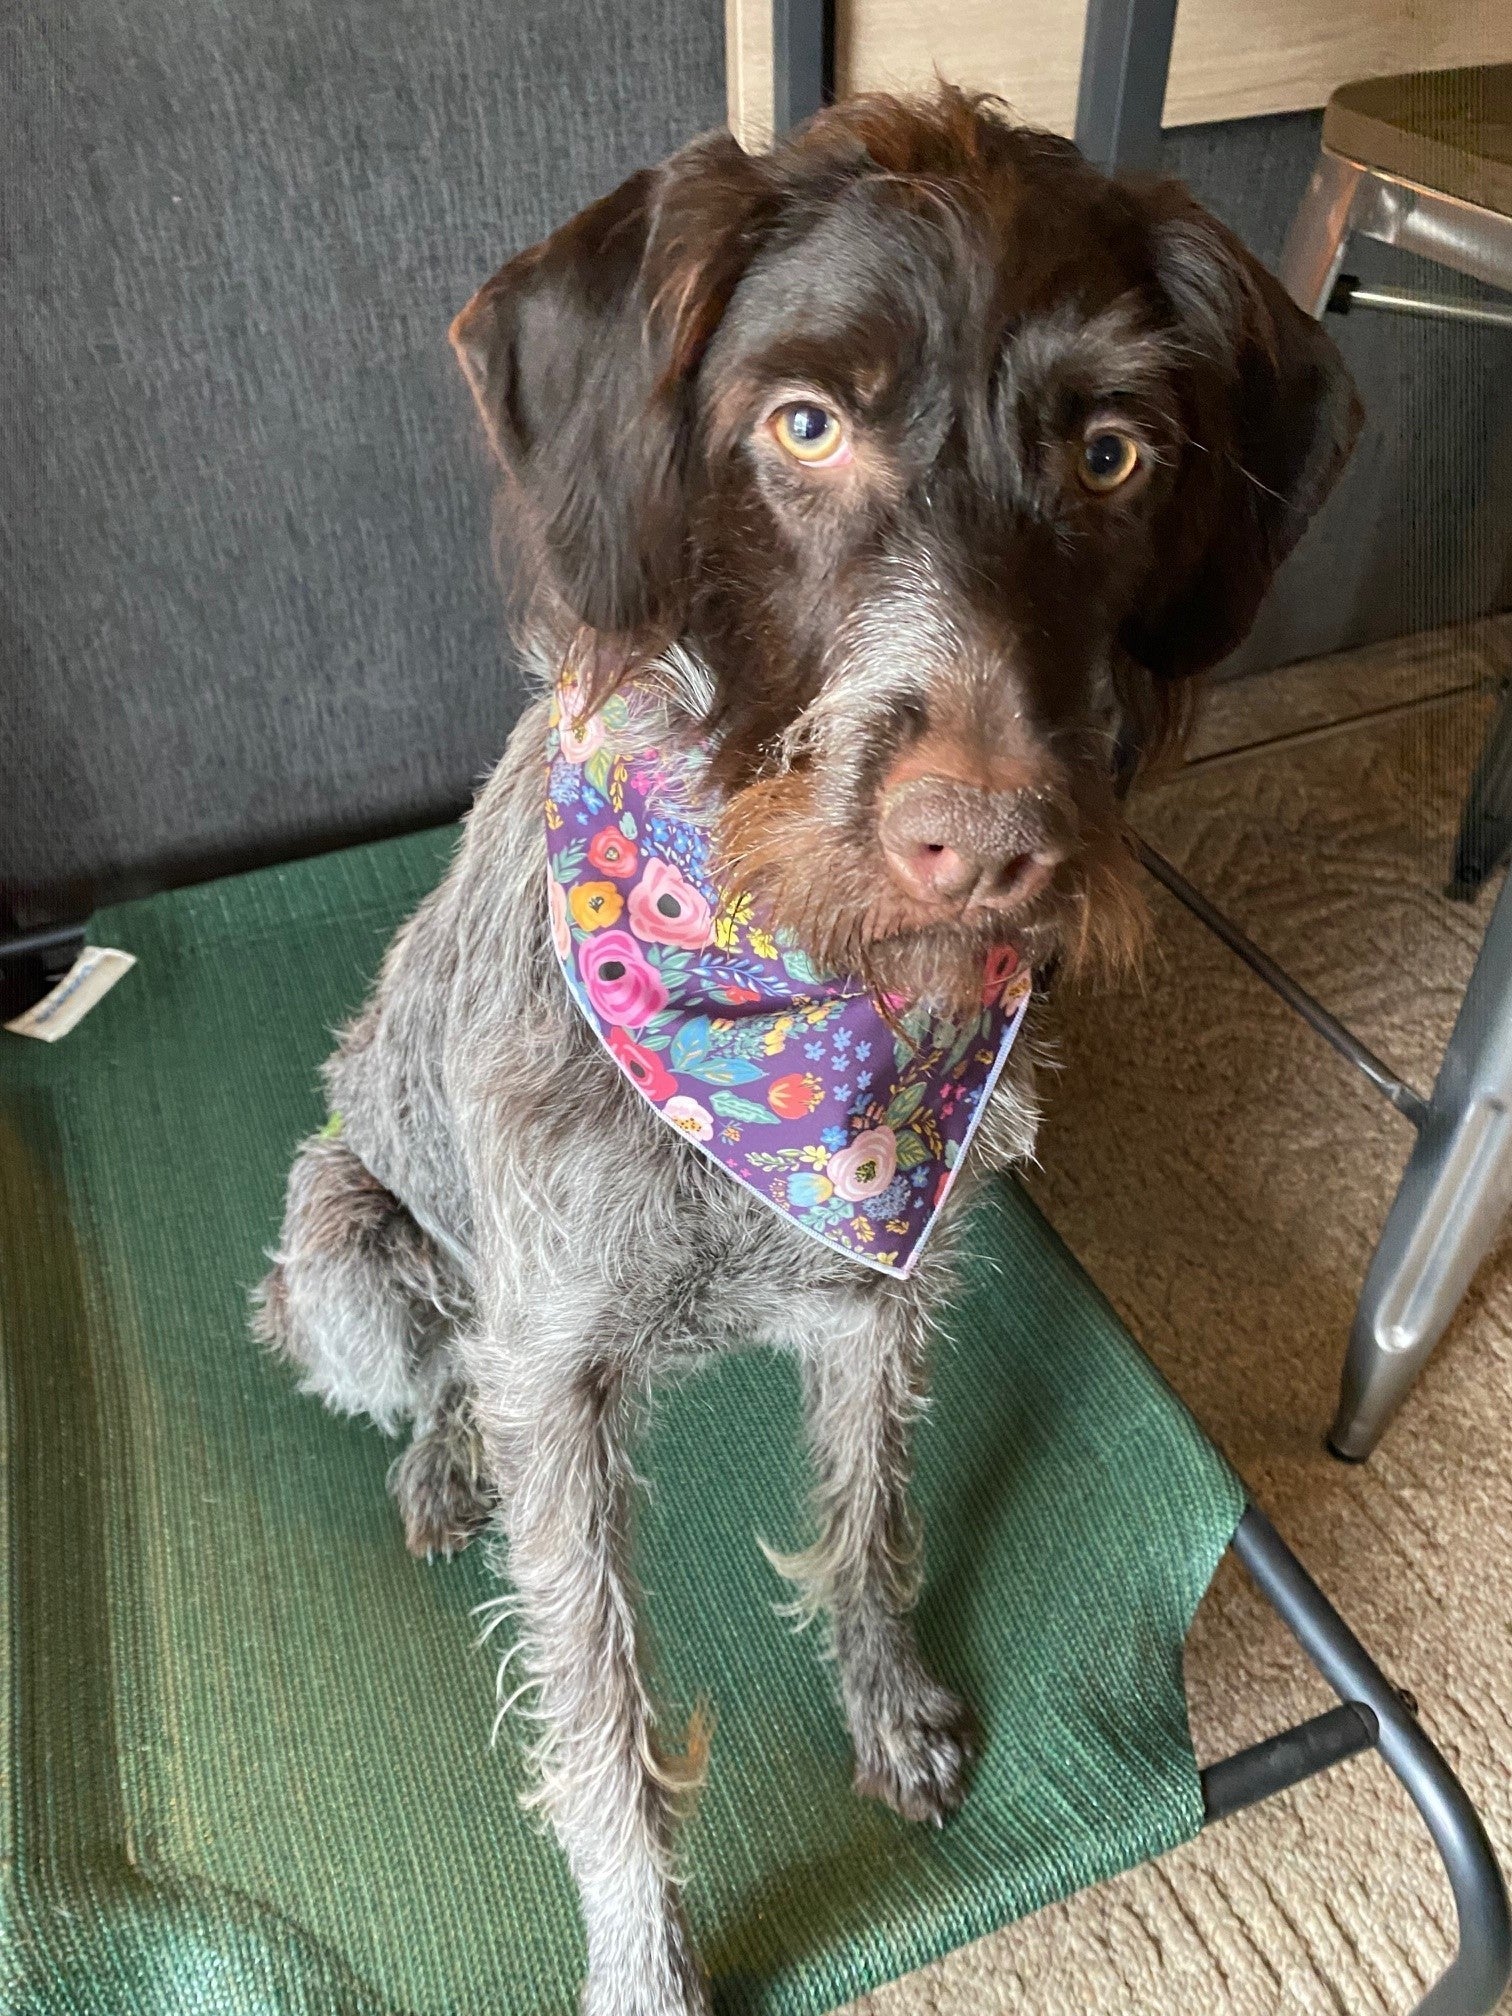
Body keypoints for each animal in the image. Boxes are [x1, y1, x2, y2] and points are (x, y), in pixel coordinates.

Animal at [252, 82, 1362, 2016]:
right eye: (804, 423)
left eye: (1113, 456)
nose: (986, 844)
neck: (783, 998)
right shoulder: (557, 1378)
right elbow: (600, 1724)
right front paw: (643, 1959)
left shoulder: (876, 1297)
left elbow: (868, 1518)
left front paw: (888, 1708)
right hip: (343, 1254)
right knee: (432, 1365)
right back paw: (435, 1457)